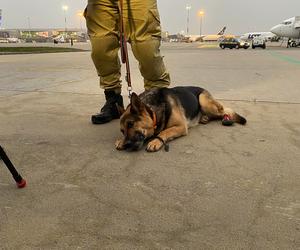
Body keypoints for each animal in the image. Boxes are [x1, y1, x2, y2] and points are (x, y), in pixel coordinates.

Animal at [115, 86, 246, 152]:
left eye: (131, 124)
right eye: (122, 130)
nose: (127, 144)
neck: (153, 110)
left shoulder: (181, 127)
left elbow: (164, 132)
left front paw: (155, 141)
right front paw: (121, 141)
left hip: (204, 101)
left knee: (225, 111)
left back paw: (228, 118)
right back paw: (204, 118)